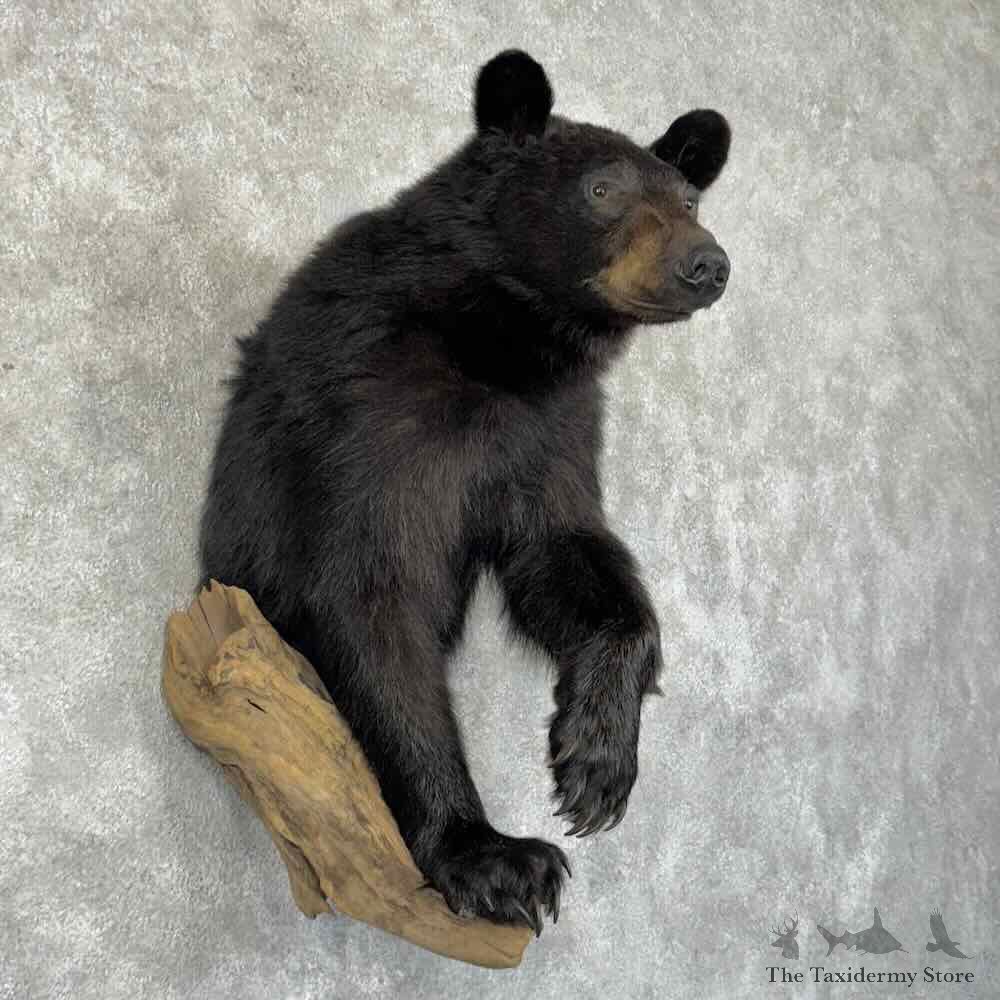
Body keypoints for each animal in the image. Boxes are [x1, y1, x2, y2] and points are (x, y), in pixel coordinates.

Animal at [198, 49, 730, 936]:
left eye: (689, 200)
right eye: (602, 189)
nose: (707, 264)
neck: (501, 343)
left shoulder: (551, 430)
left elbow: (566, 554)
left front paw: (595, 762)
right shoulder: (367, 412)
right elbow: (367, 597)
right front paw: (493, 858)